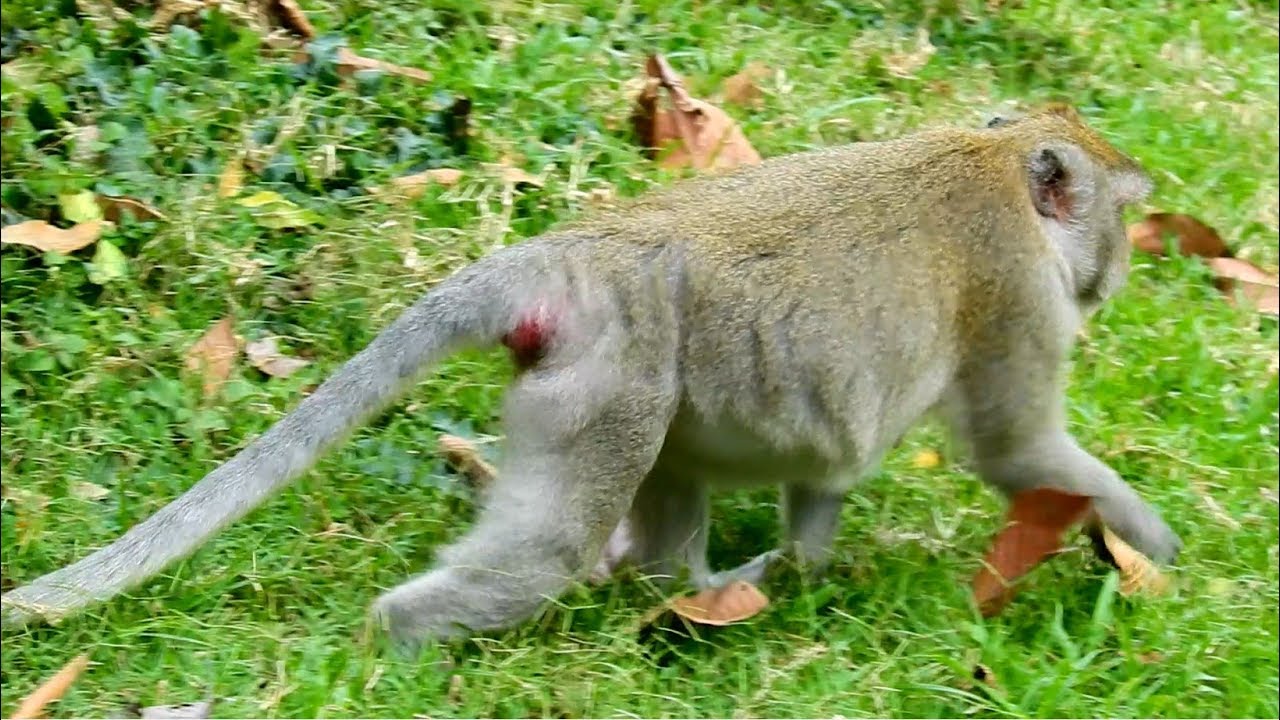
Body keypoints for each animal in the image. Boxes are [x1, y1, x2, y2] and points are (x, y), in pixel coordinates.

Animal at [1, 103, 1182, 649]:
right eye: (1122, 217)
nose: (1119, 273)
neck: (998, 169)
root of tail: (574, 255)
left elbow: (826, 474)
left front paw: (804, 562)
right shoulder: (1016, 294)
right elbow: (1017, 449)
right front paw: (1147, 543)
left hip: (626, 378)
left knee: (670, 471)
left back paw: (682, 580)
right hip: (605, 388)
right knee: (544, 552)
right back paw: (403, 639)